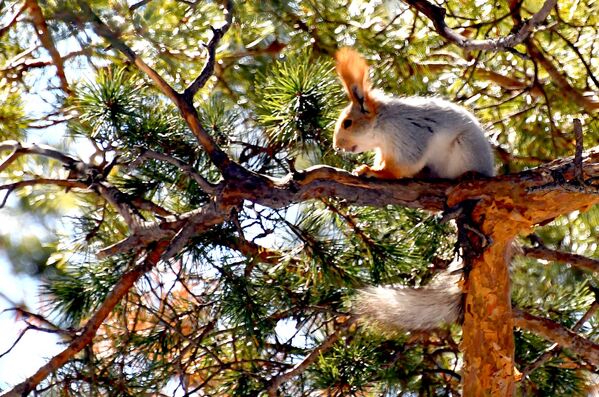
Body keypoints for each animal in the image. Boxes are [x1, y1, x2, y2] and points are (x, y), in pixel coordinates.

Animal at [336, 48, 500, 330]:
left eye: (347, 123)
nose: (337, 145)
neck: (382, 123)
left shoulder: (408, 136)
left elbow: (401, 167)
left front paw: (371, 172)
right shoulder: (386, 149)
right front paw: (370, 168)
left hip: (464, 150)